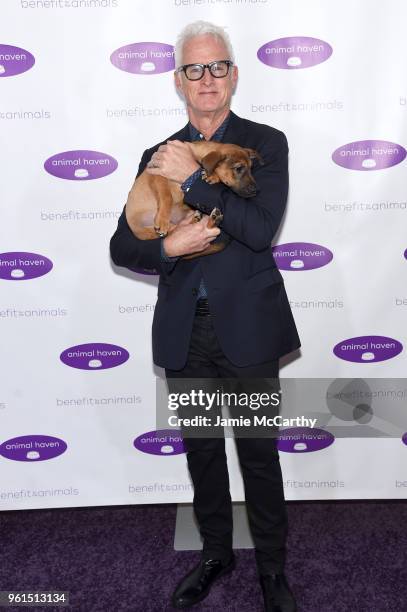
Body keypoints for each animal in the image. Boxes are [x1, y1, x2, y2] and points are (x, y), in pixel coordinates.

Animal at [124, 142, 262, 258]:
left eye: (251, 168)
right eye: (239, 168)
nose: (256, 190)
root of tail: (137, 232)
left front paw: (213, 176)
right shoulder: (159, 176)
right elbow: (167, 197)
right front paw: (162, 220)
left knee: (180, 228)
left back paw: (210, 219)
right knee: (174, 231)